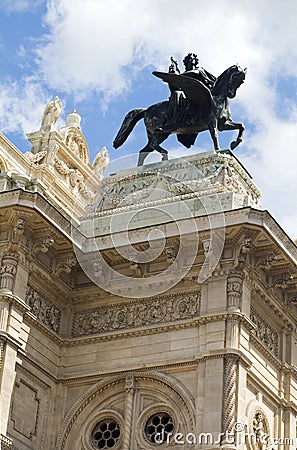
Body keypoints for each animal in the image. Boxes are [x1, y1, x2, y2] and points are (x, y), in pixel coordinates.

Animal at [113, 64, 245, 166]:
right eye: (236, 77)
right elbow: (215, 135)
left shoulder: (223, 124)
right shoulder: (212, 121)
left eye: (242, 81)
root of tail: (146, 110)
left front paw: (235, 143)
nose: (231, 94)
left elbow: (241, 126)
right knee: (153, 144)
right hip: (160, 132)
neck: (217, 98)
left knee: (144, 150)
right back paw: (165, 156)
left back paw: (140, 168)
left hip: (160, 134)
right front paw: (218, 150)